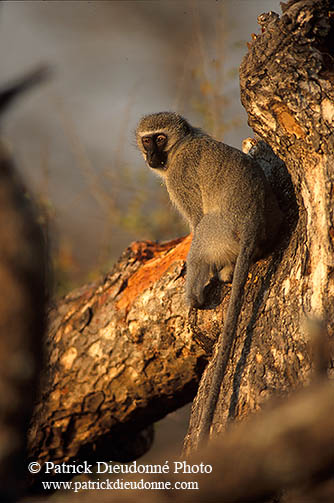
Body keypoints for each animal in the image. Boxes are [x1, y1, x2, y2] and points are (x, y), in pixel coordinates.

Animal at [136, 112, 282, 442]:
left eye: (160, 138)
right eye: (147, 140)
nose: (151, 155)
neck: (181, 145)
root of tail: (252, 222)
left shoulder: (181, 178)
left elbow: (196, 220)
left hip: (221, 231)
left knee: (202, 231)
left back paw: (197, 292)